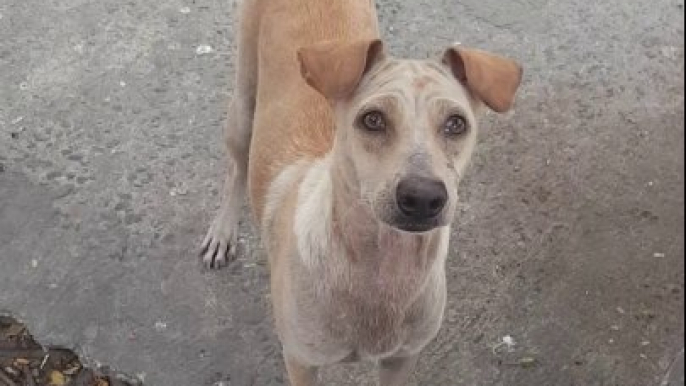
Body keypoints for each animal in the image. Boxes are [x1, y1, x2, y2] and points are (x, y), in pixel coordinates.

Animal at [202, 0, 524, 382]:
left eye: (456, 124)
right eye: (372, 119)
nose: (422, 198)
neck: (381, 270)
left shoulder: (402, 359)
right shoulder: (301, 362)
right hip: (243, 109)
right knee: (236, 167)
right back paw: (222, 231)